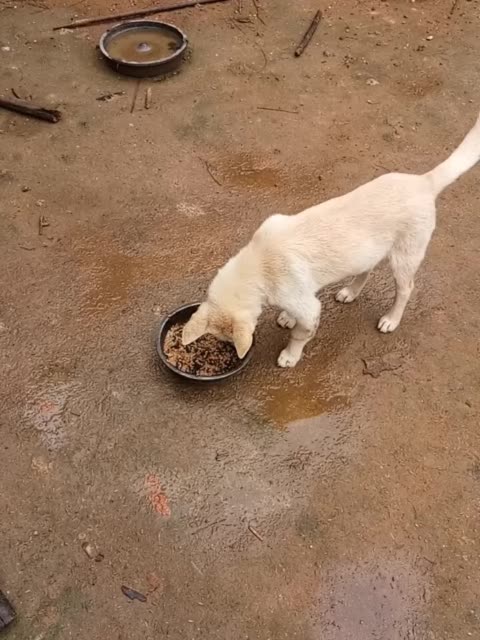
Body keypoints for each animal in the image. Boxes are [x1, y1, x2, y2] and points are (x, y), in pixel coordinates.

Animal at [182, 112, 478, 368]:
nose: (229, 353)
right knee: (366, 270)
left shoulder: (309, 306)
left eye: (226, 341)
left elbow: (300, 334)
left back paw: (391, 320)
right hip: (369, 251)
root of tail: (423, 182)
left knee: (406, 289)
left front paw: (290, 355)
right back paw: (350, 292)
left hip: (405, 257)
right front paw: (287, 318)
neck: (259, 261)